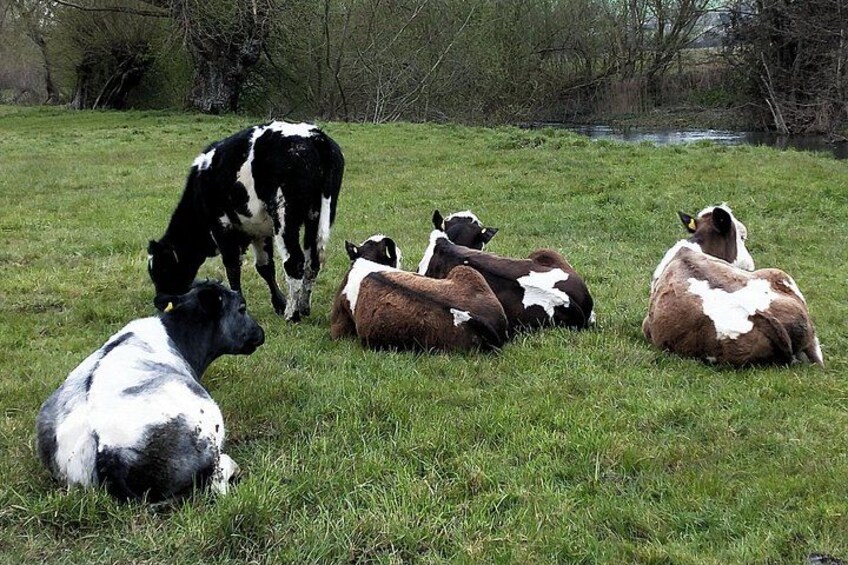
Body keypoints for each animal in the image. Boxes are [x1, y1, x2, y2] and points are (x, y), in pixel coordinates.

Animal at [148, 121, 344, 322]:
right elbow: (265, 267)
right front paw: (279, 303)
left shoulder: (222, 226)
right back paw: (303, 307)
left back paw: (292, 314)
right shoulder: (258, 230)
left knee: (294, 262)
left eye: (162, 269)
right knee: (312, 261)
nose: (159, 302)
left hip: (285, 217)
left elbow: (232, 266)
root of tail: (314, 136)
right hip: (317, 216)